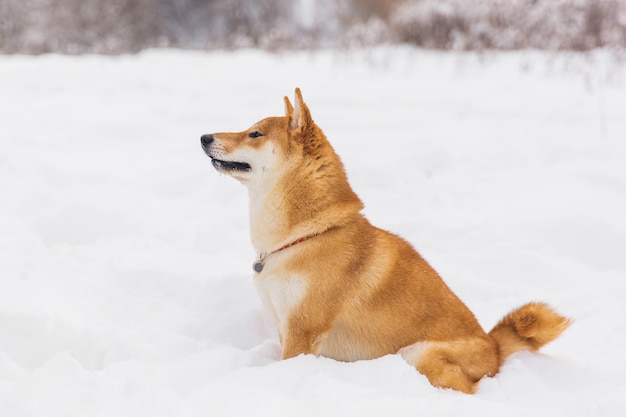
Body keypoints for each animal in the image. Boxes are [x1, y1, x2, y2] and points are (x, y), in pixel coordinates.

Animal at [197, 88, 568, 394]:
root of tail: (494, 349)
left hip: (418, 353)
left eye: (255, 133)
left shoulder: (302, 330)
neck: (304, 235)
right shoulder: (285, 326)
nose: (203, 136)